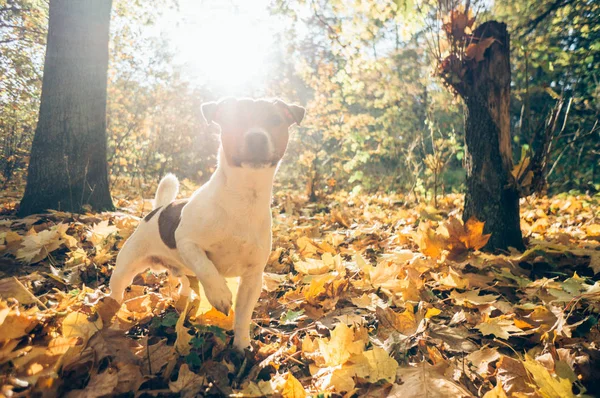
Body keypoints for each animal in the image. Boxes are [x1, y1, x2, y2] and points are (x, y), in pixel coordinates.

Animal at [108, 98, 304, 350]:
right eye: (234, 119)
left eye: (275, 120)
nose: (256, 138)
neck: (243, 198)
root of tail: (157, 209)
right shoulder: (187, 242)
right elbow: (207, 268)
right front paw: (219, 294)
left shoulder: (253, 277)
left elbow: (243, 315)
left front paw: (242, 345)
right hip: (125, 269)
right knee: (116, 292)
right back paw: (110, 316)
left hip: (181, 269)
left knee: (185, 284)